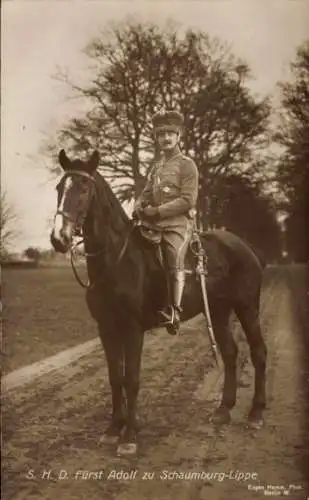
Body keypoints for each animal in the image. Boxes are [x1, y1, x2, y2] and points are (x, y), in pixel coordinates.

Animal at [50, 149, 264, 458]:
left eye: (84, 188)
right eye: (59, 187)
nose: (59, 238)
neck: (116, 259)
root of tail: (245, 246)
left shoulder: (132, 329)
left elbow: (131, 379)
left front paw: (129, 436)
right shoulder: (106, 328)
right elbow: (115, 377)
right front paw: (113, 429)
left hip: (247, 308)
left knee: (258, 352)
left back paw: (256, 413)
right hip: (219, 311)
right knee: (231, 353)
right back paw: (223, 410)